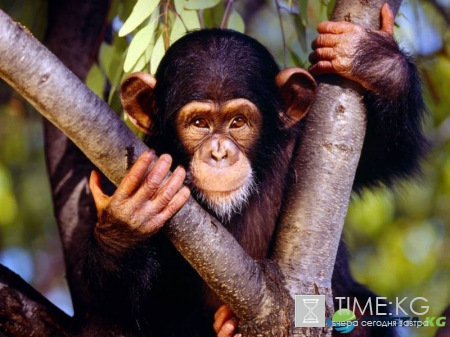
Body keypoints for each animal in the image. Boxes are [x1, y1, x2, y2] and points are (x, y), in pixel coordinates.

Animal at [84, 3, 426, 336]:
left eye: (238, 122)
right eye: (199, 123)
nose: (219, 152)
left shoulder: (304, 142)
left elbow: (386, 152)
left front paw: (374, 60)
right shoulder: (127, 162)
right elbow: (113, 311)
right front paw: (129, 219)